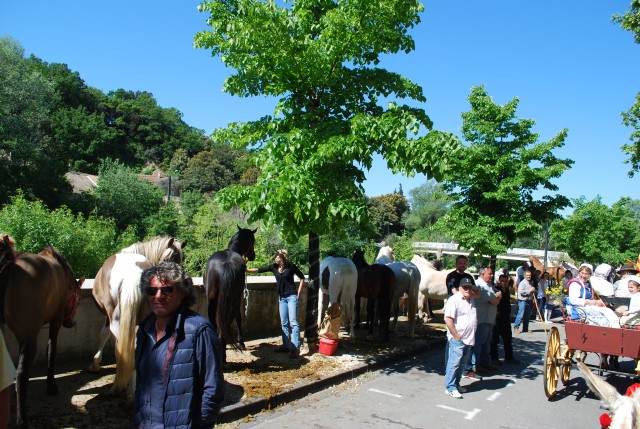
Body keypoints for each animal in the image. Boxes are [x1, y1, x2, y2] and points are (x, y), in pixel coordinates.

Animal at [0, 234, 84, 428]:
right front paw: (51, 385)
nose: (71, 323)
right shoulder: (56, 320)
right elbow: (51, 350)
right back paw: (22, 420)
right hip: (31, 337)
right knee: (21, 373)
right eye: (78, 298)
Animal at [87, 234, 185, 398]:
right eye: (170, 259)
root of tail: (133, 273)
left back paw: (121, 389)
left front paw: (95, 364)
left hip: (116, 320)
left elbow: (104, 335)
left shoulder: (109, 317)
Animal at [204, 226, 256, 362]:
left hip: (212, 301)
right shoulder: (238, 299)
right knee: (226, 323)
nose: (253, 256)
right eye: (253, 241)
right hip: (231, 301)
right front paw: (241, 342)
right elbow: (239, 317)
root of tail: (226, 266)